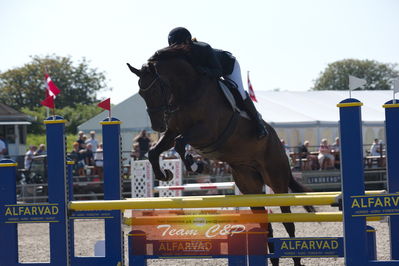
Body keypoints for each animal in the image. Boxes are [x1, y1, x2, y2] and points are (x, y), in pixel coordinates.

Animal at [128, 45, 316, 266]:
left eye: (157, 89)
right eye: (141, 93)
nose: (157, 126)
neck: (187, 91)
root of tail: (278, 142)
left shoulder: (207, 130)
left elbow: (181, 142)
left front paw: (194, 165)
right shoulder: (173, 130)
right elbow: (154, 151)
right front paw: (165, 174)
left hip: (276, 179)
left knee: (288, 222)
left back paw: (295, 259)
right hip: (249, 185)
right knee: (266, 224)